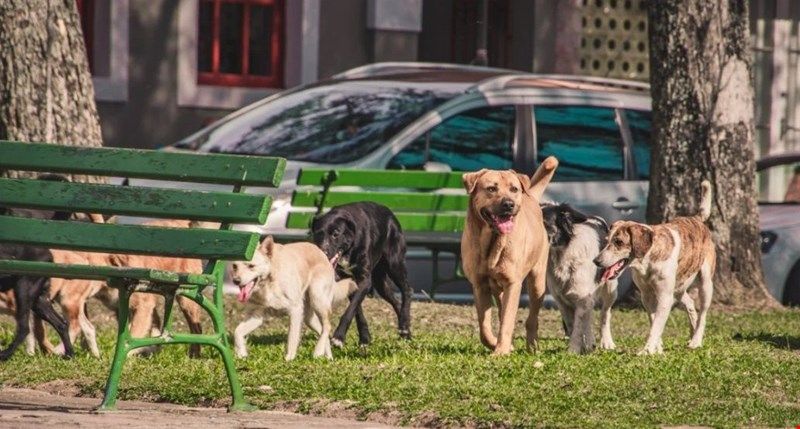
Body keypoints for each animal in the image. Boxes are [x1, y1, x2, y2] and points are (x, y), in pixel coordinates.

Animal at [310, 201, 416, 348]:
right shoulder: (350, 282)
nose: (322, 252)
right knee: (395, 300)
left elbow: (350, 310)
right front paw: (364, 338)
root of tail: (391, 215)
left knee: (407, 289)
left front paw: (338, 337)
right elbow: (357, 310)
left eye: (336, 234)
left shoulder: (364, 281)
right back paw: (405, 331)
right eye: (318, 234)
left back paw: (405, 325)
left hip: (394, 264)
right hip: (380, 282)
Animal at [460, 157, 560, 354]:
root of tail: (530, 197)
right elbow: (484, 326)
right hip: (498, 288)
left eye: (514, 189)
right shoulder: (479, 285)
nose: (509, 204)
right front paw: (494, 343)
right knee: (500, 309)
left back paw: (532, 346)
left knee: (531, 318)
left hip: (537, 281)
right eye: (491, 188)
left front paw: (501, 350)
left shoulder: (513, 283)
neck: (492, 242)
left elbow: (507, 320)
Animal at [536, 202, 620, 352]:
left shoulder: (582, 297)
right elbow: (572, 325)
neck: (563, 255)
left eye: (544, 223)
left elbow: (578, 327)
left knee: (605, 314)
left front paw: (573, 351)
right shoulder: (561, 300)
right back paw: (590, 343)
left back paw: (606, 342)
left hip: (611, 288)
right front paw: (579, 347)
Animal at [592, 179, 716, 352]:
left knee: (703, 313)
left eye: (619, 242)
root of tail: (696, 218)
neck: (647, 263)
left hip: (705, 284)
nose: (596, 261)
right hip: (678, 288)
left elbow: (657, 324)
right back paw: (691, 333)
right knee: (690, 303)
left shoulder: (664, 296)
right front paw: (657, 347)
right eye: (606, 241)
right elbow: (653, 321)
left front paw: (647, 350)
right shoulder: (646, 295)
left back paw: (696, 340)